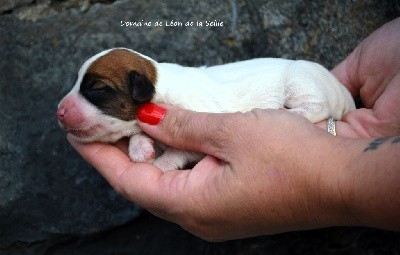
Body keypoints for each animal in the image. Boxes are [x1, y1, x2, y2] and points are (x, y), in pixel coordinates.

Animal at [57, 47, 356, 171]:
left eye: (97, 89)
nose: (59, 111)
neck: (161, 82)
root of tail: (342, 90)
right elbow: (138, 132)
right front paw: (140, 148)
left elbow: (181, 150)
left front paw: (163, 162)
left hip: (301, 81)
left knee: (317, 106)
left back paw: (290, 113)